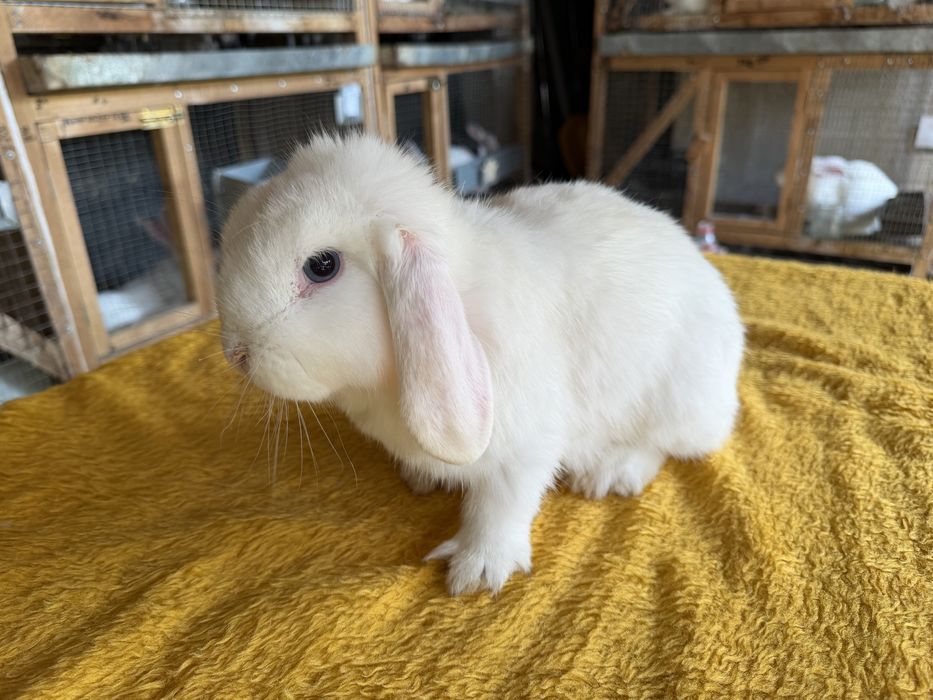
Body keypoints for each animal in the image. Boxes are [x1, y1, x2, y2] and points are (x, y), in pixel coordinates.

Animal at [215, 133, 745, 595]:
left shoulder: (525, 445)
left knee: (667, 447)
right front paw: (421, 479)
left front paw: (477, 571)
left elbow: (503, 503)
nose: (235, 353)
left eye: (322, 266)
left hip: (681, 401)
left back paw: (610, 472)